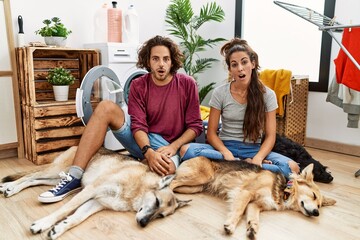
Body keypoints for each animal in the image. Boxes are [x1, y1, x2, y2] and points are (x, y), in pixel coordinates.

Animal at [0, 147, 190, 239]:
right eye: (157, 202)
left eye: (161, 216)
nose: (143, 224)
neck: (137, 188)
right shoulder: (91, 191)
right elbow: (64, 210)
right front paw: (43, 223)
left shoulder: (95, 203)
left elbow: (75, 218)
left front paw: (59, 228)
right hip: (57, 170)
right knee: (30, 175)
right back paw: (9, 186)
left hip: (55, 178)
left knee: (33, 180)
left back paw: (11, 188)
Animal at [170, 157, 336, 240]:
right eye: (313, 195)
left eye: (319, 206)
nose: (316, 213)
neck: (283, 190)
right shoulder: (245, 193)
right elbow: (238, 212)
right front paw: (230, 226)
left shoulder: (255, 205)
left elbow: (254, 218)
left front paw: (252, 229)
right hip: (201, 177)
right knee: (171, 182)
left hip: (196, 187)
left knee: (174, 185)